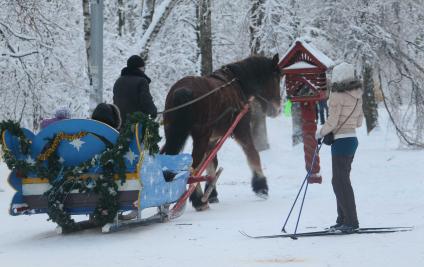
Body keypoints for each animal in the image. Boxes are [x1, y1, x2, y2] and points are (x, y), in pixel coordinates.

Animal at [161, 55, 282, 211]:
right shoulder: (241, 130)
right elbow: (252, 153)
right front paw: (261, 187)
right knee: (192, 167)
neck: (238, 83)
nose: (278, 109)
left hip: (175, 135)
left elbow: (211, 163)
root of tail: (182, 90)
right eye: (276, 78)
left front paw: (212, 193)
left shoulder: (212, 139)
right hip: (200, 136)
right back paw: (198, 200)